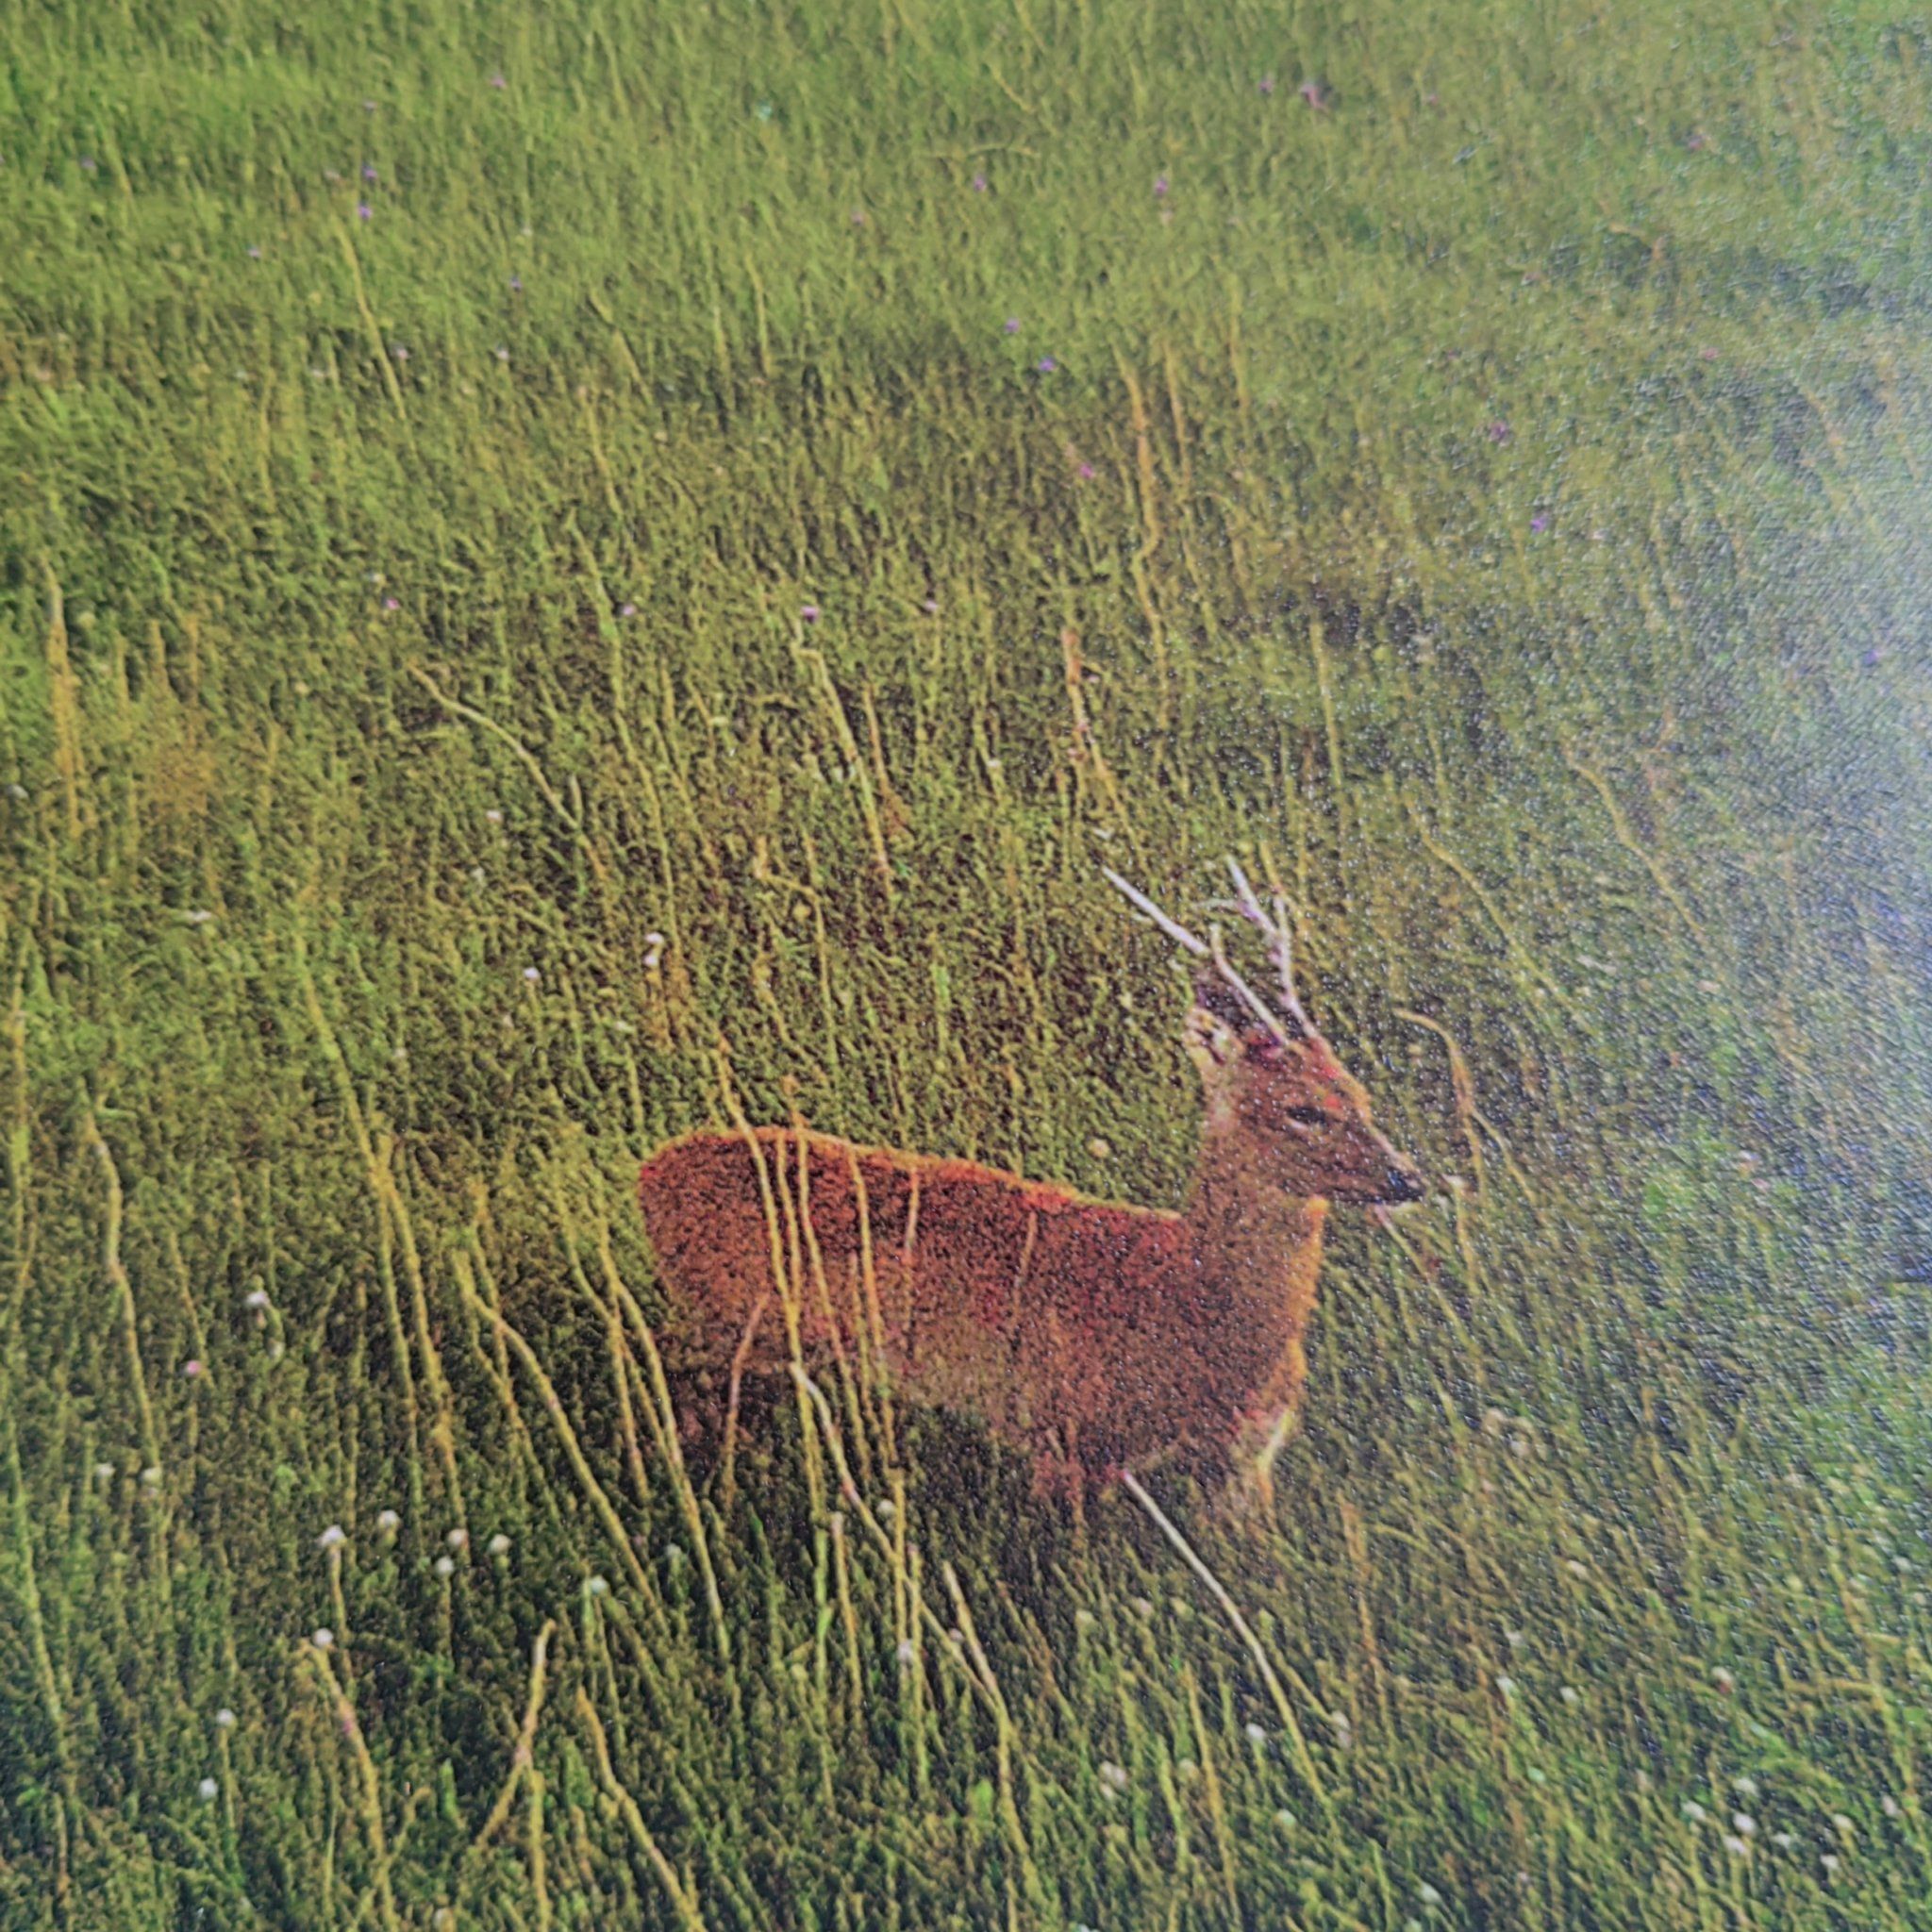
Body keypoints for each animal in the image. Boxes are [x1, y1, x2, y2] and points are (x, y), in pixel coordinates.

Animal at [636, 861, 1425, 1513]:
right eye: (1303, 1110)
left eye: (1359, 1094)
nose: (1406, 1177)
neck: (1191, 1308)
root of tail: (650, 1172)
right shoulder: (1067, 1438)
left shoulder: (1247, 1466)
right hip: (736, 1328)